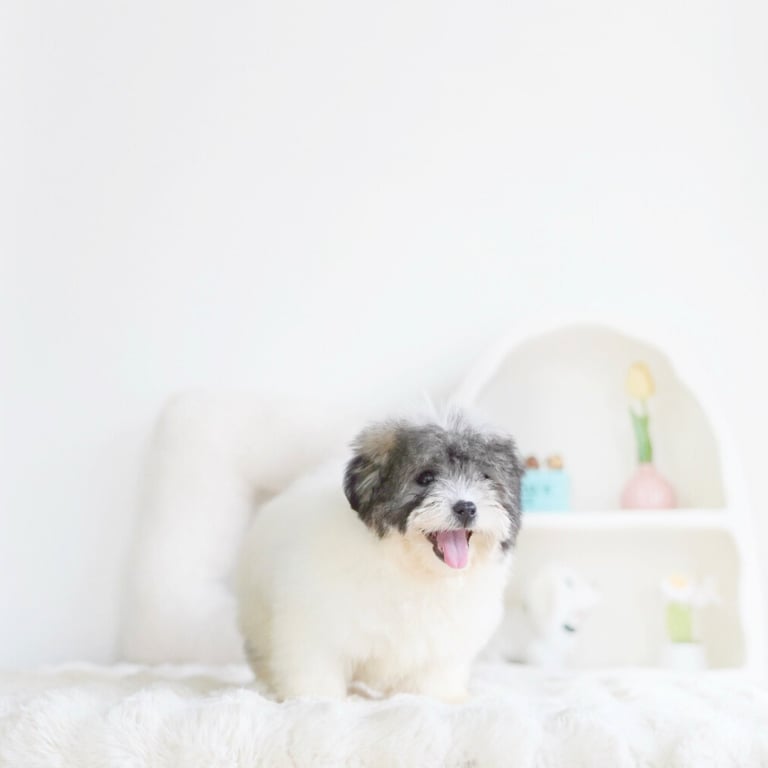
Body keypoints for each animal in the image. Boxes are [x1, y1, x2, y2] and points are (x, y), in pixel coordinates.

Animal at [236, 411, 522, 701]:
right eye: (426, 478)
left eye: (485, 477)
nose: (466, 508)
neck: (411, 567)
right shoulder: (315, 628)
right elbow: (315, 667)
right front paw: (315, 699)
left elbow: (432, 677)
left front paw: (439, 696)